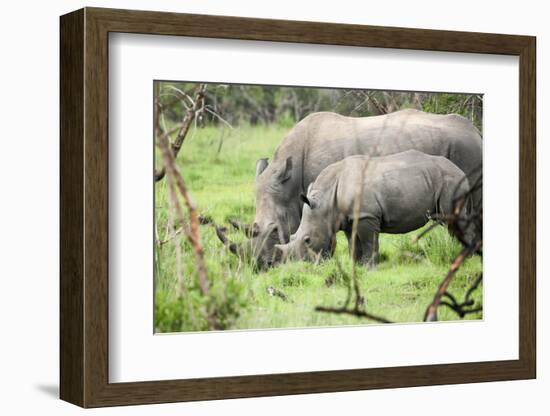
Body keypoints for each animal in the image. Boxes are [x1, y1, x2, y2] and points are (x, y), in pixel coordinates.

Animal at [274, 151, 472, 264]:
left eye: (307, 240)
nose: (300, 265)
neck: (326, 200)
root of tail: (462, 172)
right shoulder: (349, 218)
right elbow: (353, 244)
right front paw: (356, 266)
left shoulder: (366, 215)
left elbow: (369, 242)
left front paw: (369, 266)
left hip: (451, 181)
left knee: (455, 220)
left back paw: (466, 257)